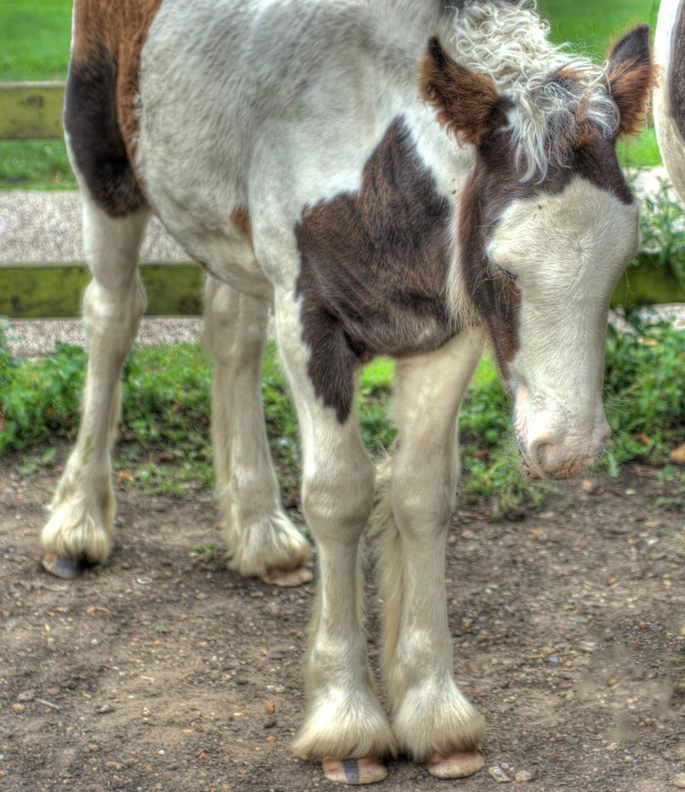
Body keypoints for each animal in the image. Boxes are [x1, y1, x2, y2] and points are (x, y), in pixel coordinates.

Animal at [40, 0, 655, 783]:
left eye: (622, 262)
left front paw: (434, 713)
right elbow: (340, 495)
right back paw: (77, 522)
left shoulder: (447, 332)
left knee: (230, 330)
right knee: (113, 318)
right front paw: (346, 722)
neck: (376, 152)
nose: (567, 447)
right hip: (104, 166)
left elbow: (422, 493)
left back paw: (258, 533)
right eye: (502, 267)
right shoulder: (310, 320)